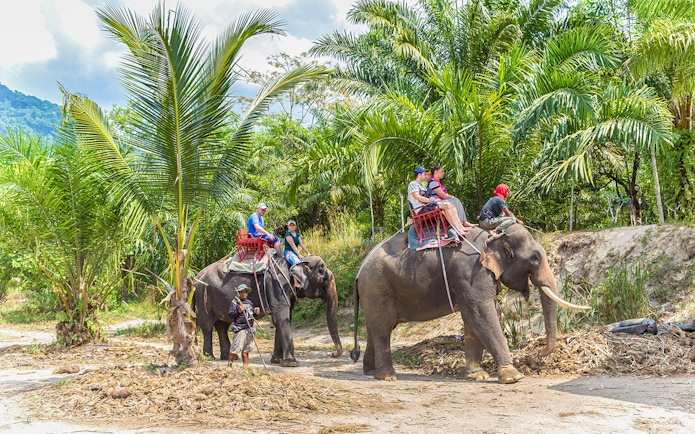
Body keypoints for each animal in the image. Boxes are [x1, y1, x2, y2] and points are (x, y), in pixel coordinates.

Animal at [193, 254, 342, 366]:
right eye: (324, 279)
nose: (332, 354)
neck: (297, 261)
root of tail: (197, 277)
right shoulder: (277, 284)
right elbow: (281, 318)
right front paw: (291, 363)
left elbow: (284, 319)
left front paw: (277, 361)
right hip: (203, 297)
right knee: (207, 326)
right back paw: (210, 358)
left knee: (222, 325)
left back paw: (229, 357)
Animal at [350, 224, 589, 383]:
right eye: (535, 258)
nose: (539, 354)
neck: (494, 237)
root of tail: (359, 272)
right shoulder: (472, 272)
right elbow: (481, 314)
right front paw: (513, 376)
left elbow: (471, 318)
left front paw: (478, 375)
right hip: (377, 287)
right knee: (382, 328)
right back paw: (388, 377)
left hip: (374, 292)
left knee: (375, 328)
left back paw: (370, 372)